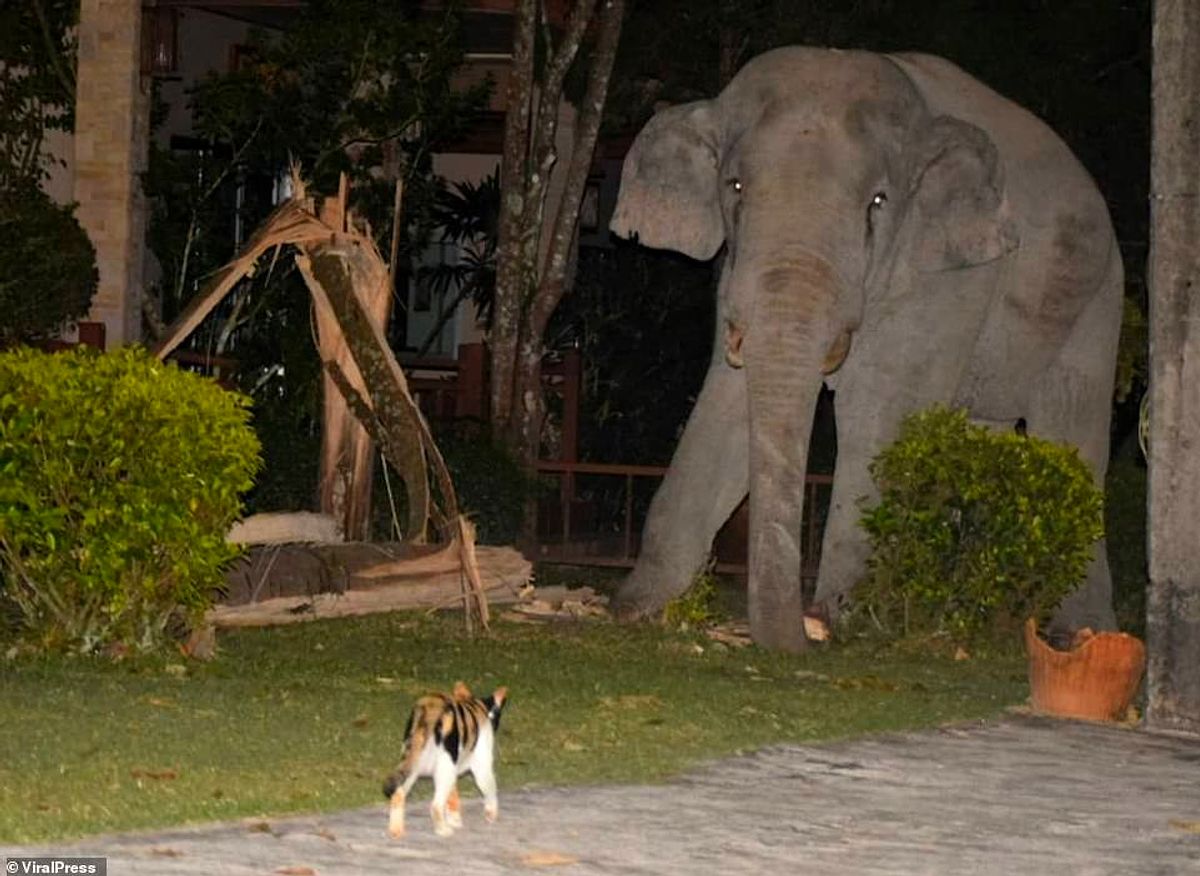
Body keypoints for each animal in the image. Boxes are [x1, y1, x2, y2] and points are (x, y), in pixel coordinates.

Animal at [384, 676, 506, 835]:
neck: (479, 707)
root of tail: (430, 708)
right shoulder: (481, 766)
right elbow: (490, 789)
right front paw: (492, 814)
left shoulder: (451, 772)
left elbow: (452, 799)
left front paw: (455, 820)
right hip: (445, 768)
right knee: (436, 805)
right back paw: (442, 830)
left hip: (412, 767)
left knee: (398, 795)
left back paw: (396, 831)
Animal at [609, 47, 1123, 648]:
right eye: (733, 187)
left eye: (878, 202)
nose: (803, 634)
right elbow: (728, 403)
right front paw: (638, 607)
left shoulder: (948, 276)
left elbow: (876, 413)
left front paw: (845, 619)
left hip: (1098, 298)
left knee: (1073, 430)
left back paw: (1081, 633)